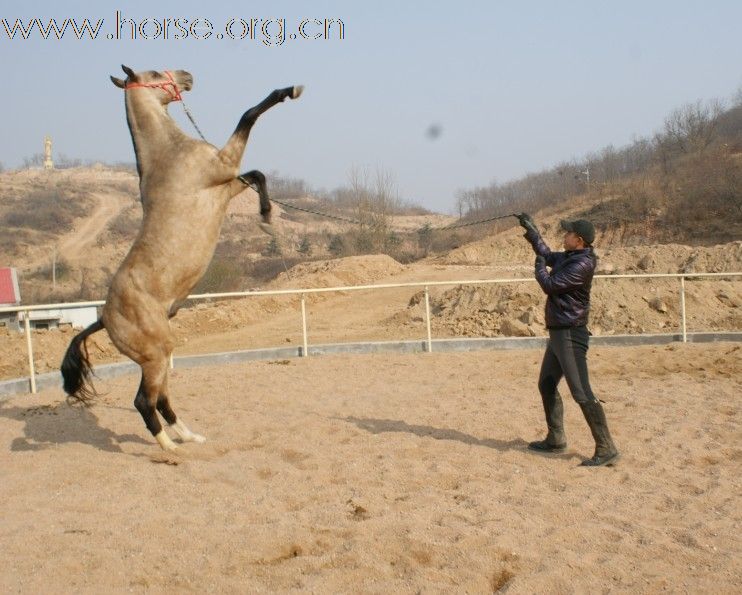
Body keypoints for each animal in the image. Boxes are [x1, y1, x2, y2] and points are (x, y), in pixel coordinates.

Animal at [62, 66, 304, 452]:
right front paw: (289, 91)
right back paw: (171, 450)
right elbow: (249, 115)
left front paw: (266, 216)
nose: (187, 76)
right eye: (154, 73)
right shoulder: (223, 166)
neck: (168, 155)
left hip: (157, 357)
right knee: (143, 401)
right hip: (156, 353)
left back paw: (189, 436)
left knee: (160, 398)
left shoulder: (226, 184)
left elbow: (256, 174)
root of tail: (104, 319)